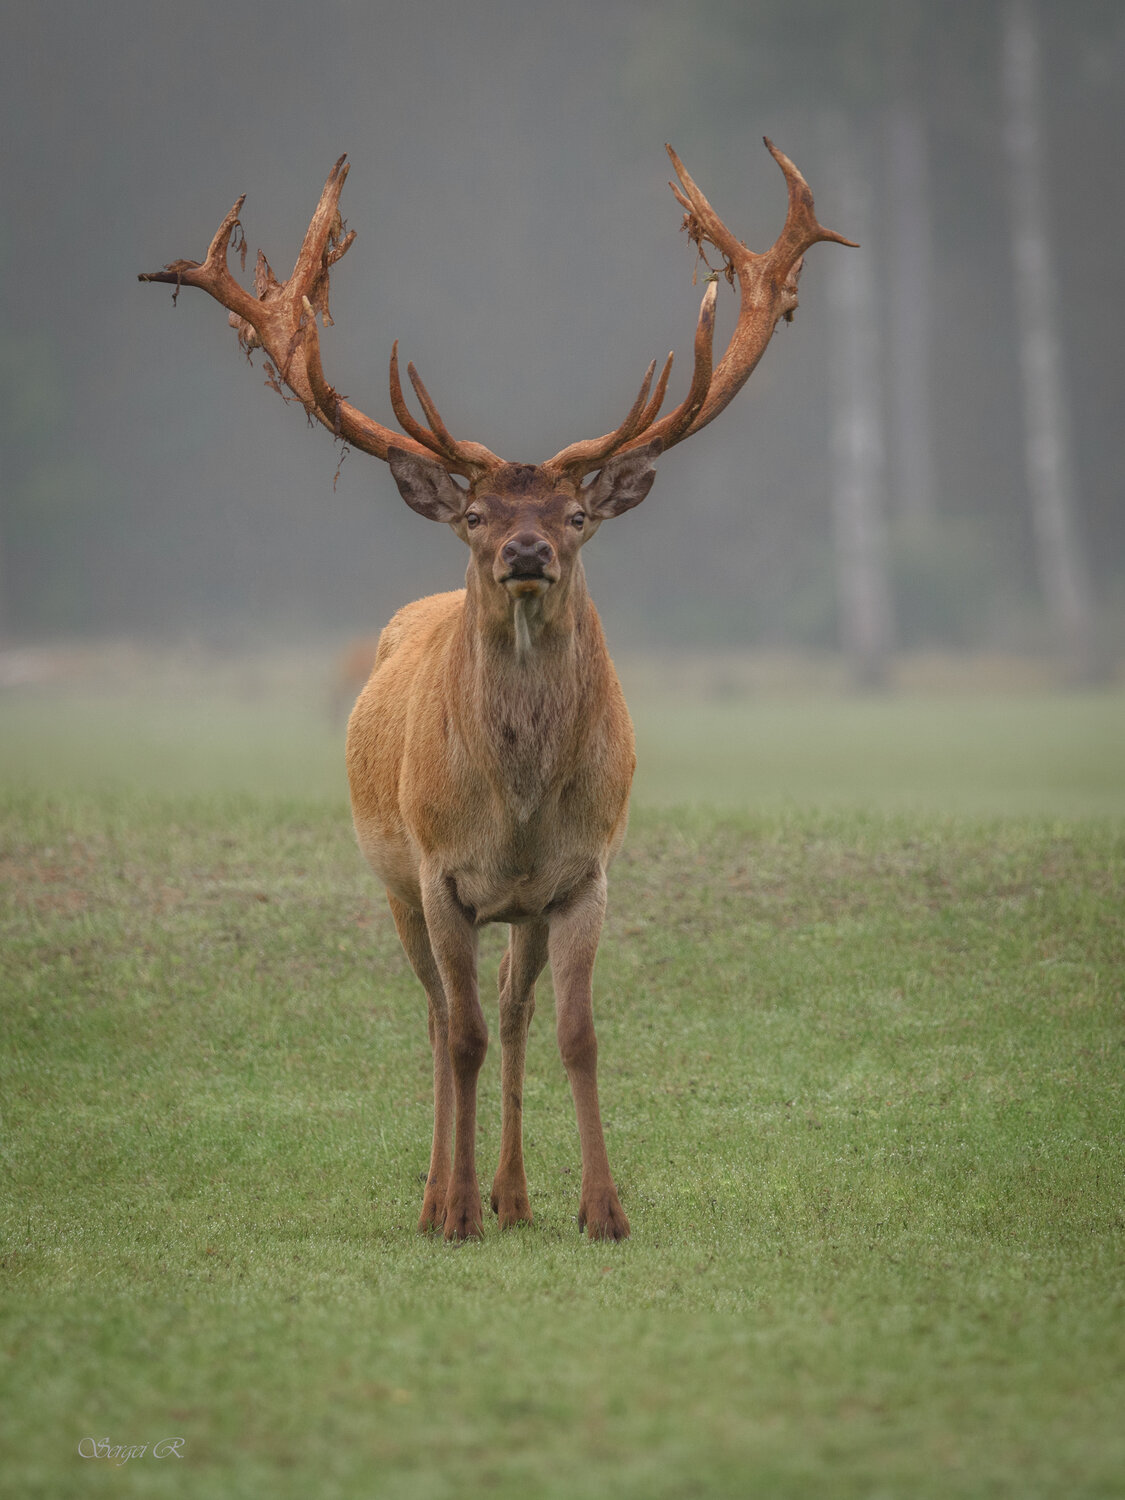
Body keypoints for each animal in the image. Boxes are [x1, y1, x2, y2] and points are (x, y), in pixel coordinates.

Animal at [139, 141, 854, 1241]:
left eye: (574, 514)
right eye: (475, 513)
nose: (524, 552)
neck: (516, 806)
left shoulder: (584, 875)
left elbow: (576, 1033)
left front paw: (600, 1210)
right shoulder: (439, 875)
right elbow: (463, 1035)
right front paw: (455, 1214)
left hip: (519, 912)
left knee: (513, 1015)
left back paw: (516, 1195)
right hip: (395, 882)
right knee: (443, 1022)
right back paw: (446, 1193)